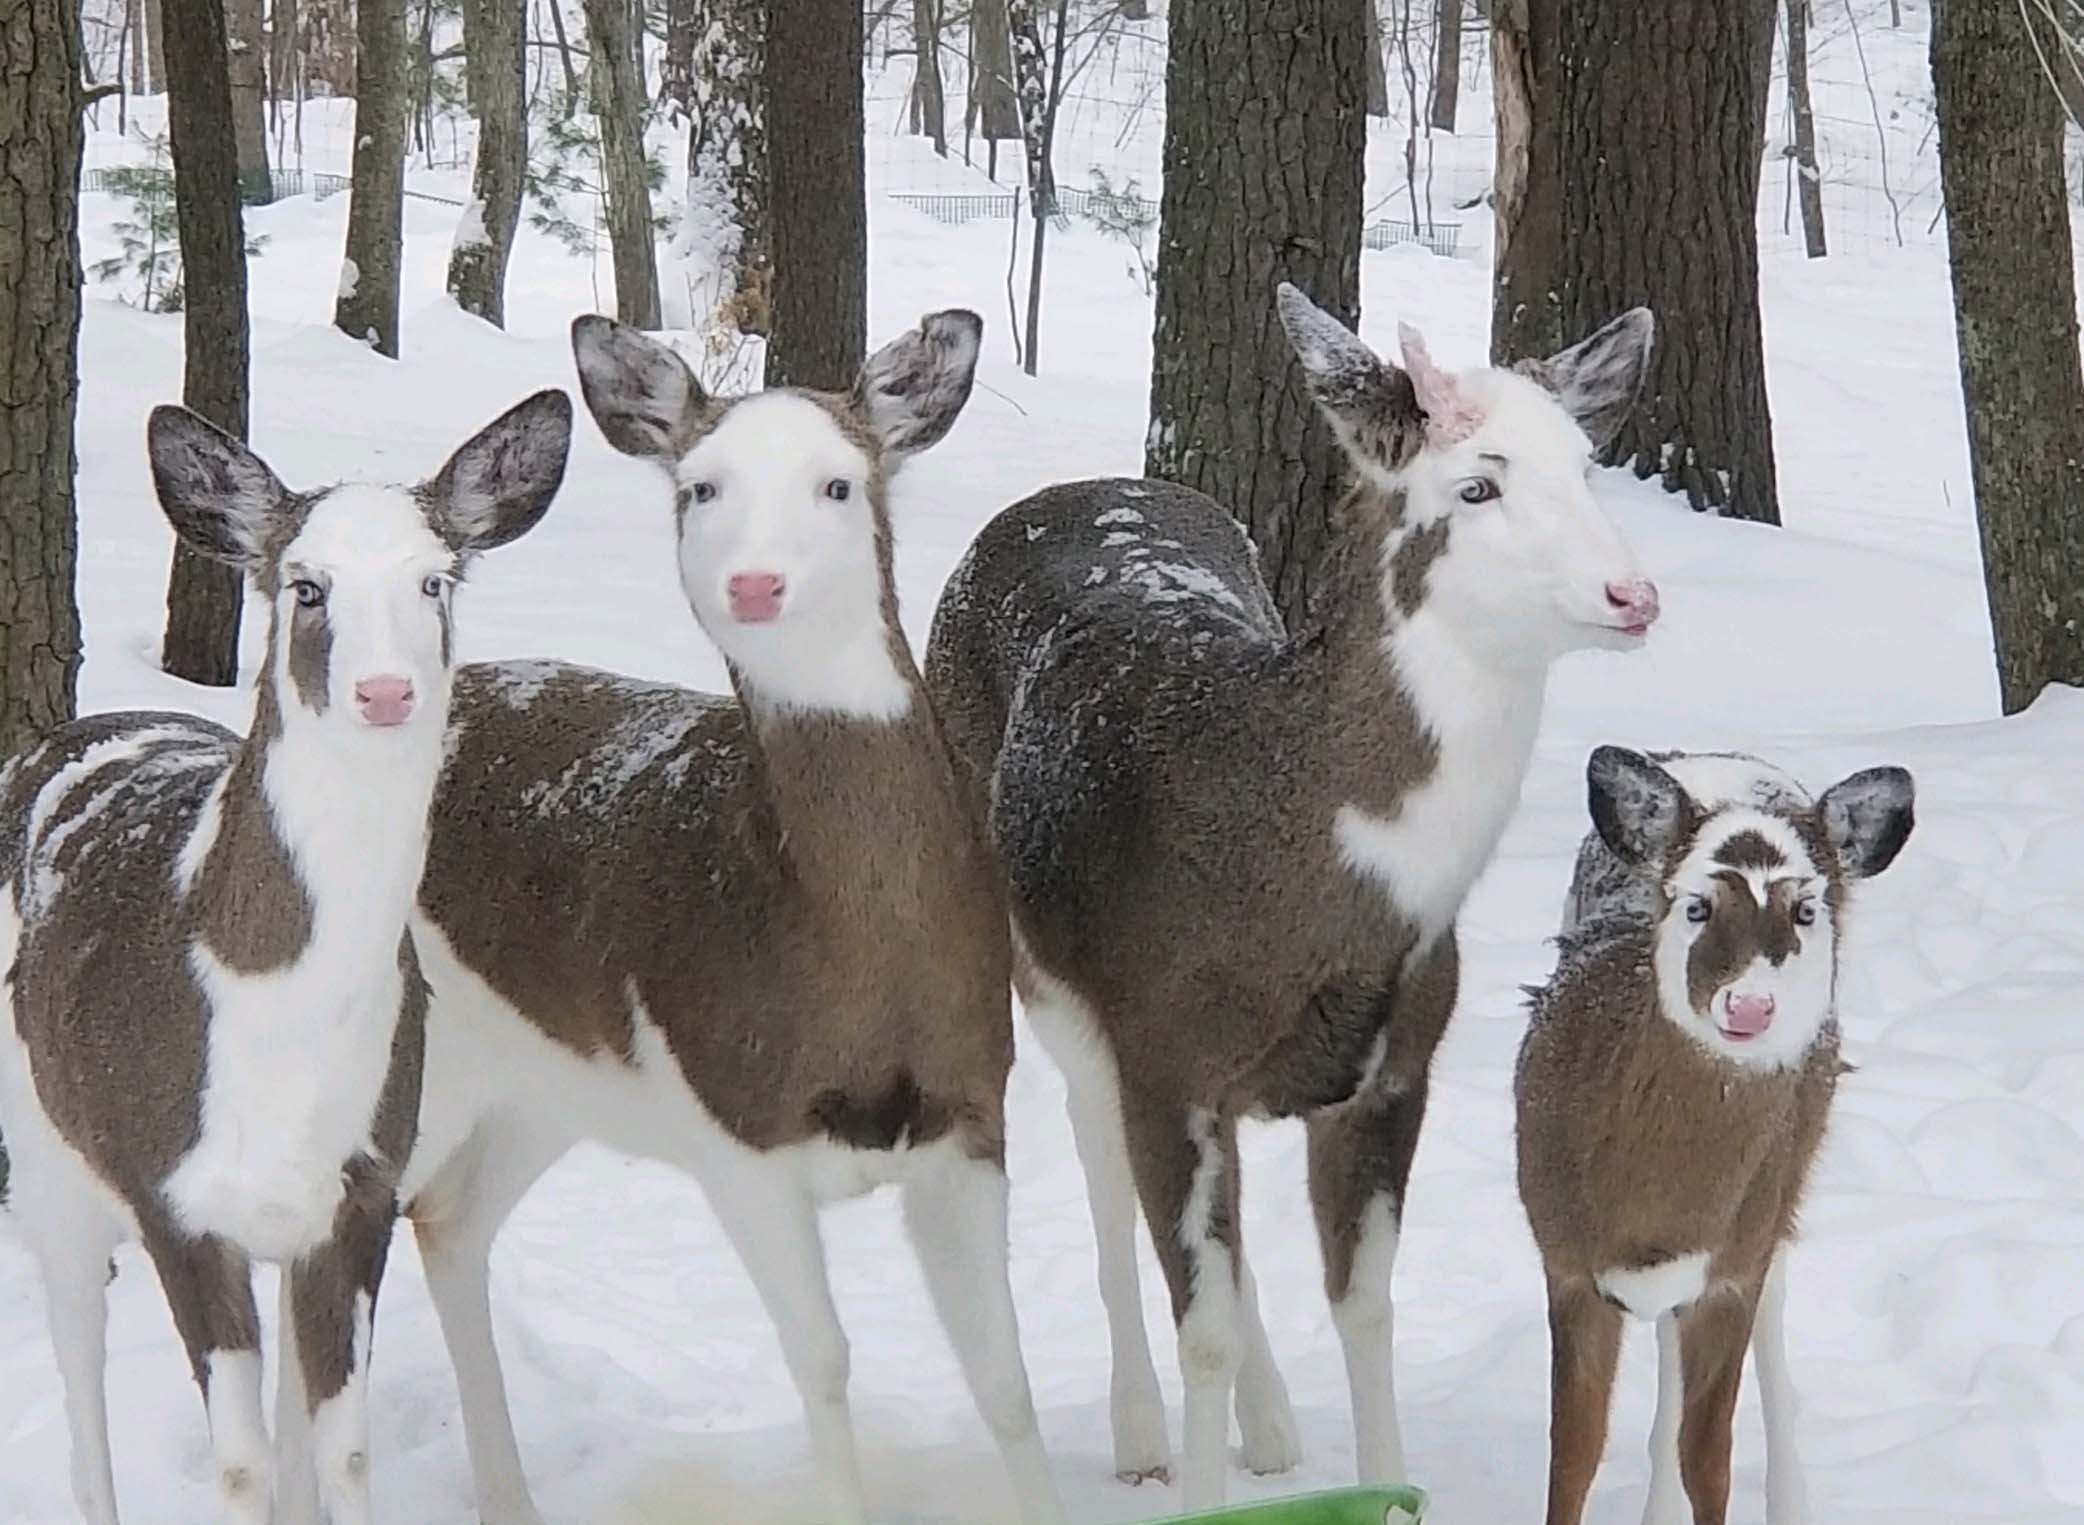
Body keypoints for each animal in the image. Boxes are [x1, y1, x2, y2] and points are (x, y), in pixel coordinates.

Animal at [0, 392, 572, 1525]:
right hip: (45, 1160)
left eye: (435, 580)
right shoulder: (171, 1193)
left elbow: (339, 1449)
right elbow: (240, 1462)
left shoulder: (363, 1186)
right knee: (79, 1377)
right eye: (307, 586)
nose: (387, 692)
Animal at [394, 310, 1066, 1525]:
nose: (754, 583)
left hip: (540, 1086)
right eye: (699, 485)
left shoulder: (968, 1112)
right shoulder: (732, 1125)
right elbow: (823, 1361)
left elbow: (1004, 1378)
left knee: (447, 1218)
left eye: (839, 482)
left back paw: (508, 1495)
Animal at [922, 282, 1663, 1509]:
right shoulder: (1160, 1053)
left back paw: (1268, 1429)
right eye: (1477, 485)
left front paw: (1381, 1481)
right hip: (1044, 977)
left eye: (1588, 462)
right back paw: (1138, 1433)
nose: (1632, 591)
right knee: (1096, 1167)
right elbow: (1203, 1329)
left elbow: (1363, 1307)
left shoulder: (1395, 1066)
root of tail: (1068, 490)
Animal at [1516, 746, 1914, 1525]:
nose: (1750, 1005)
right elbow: (1572, 1451)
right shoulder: (1565, 1260)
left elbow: (1710, 1458)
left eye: (1806, 908)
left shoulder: (1735, 1266)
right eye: (1695, 904)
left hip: (1780, 1198)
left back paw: (1790, 1499)